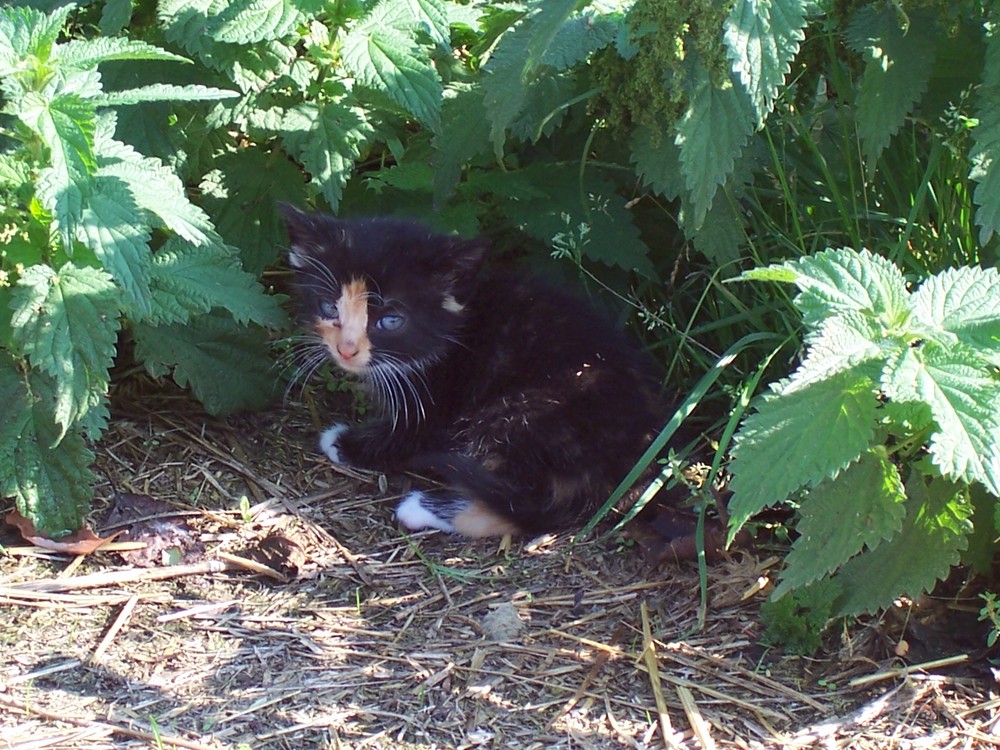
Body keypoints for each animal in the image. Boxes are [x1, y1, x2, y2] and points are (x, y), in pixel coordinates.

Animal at [282, 206, 668, 540]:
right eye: (329, 307)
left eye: (391, 320)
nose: (346, 349)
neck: (454, 334)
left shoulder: (436, 403)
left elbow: (406, 437)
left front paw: (346, 442)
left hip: (526, 412)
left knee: (534, 507)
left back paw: (422, 508)